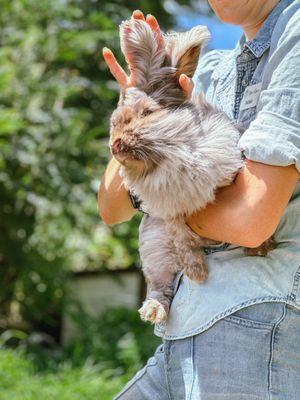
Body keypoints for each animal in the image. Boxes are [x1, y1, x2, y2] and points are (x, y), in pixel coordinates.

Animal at [108, 19, 276, 324]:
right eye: (115, 121)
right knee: (160, 287)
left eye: (148, 113)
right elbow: (182, 237)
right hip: (154, 251)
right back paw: (153, 311)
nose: (114, 145)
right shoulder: (169, 212)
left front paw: (260, 246)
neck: (172, 156)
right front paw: (197, 272)